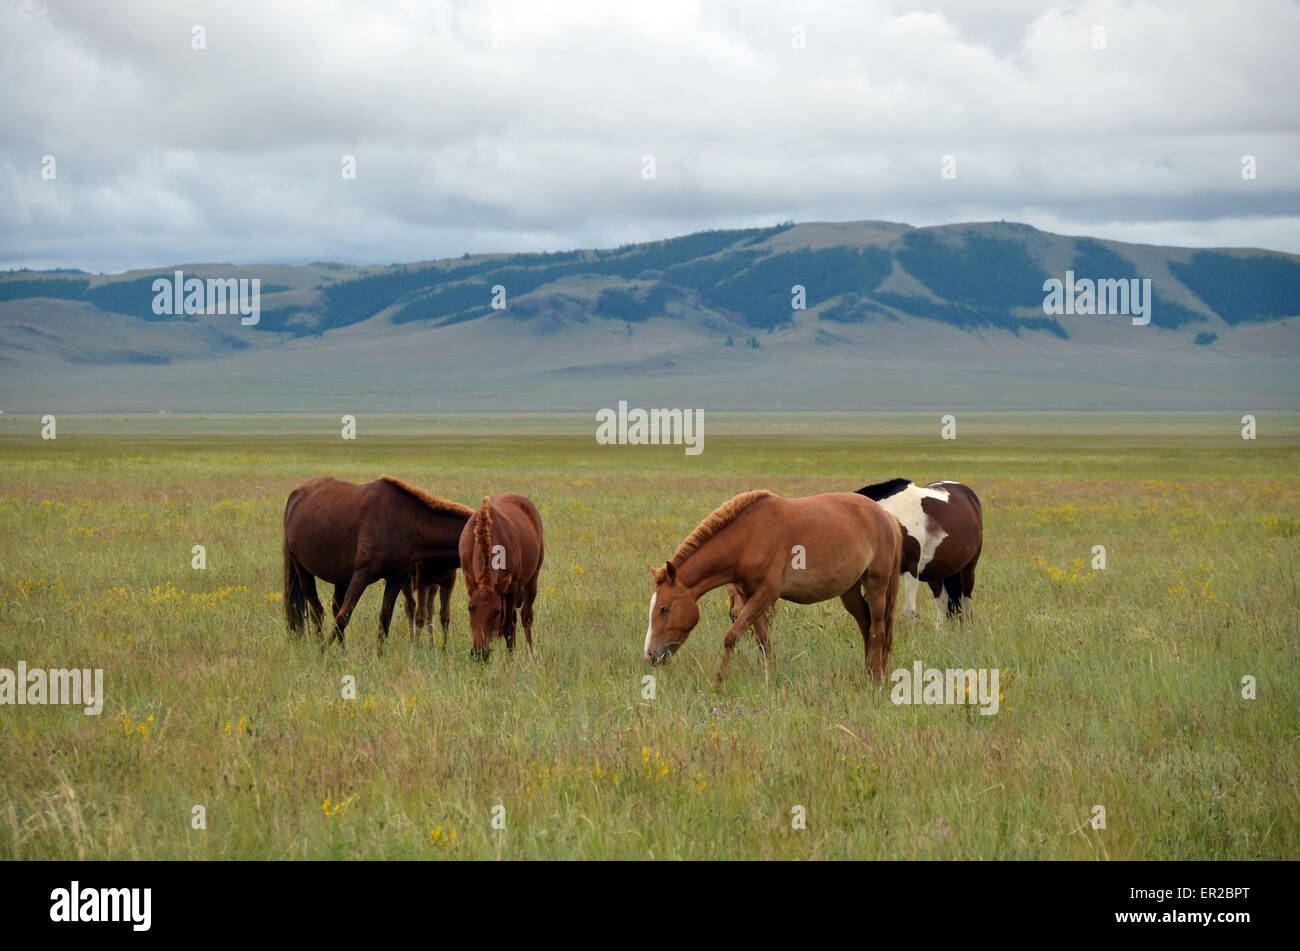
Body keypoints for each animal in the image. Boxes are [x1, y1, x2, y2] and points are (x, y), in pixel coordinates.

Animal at [282, 476, 473, 649]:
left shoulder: (396, 578)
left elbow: (384, 619)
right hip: (302, 569)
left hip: (341, 579)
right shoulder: (361, 576)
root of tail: (295, 495)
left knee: (333, 608)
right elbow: (344, 616)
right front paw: (323, 650)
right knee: (317, 612)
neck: (404, 521)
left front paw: (379, 655)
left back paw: (342, 652)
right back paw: (320, 645)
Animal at [458, 494, 545, 660]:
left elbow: (507, 627)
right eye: (470, 608)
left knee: (525, 616)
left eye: (497, 611)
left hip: (532, 578)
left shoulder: (511, 586)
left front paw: (510, 660)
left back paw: (531, 653)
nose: (479, 653)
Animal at [644, 490, 903, 685]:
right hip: (849, 592)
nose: (650, 654)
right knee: (865, 625)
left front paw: (718, 681)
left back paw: (876, 679)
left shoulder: (765, 595)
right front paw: (770, 679)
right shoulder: (750, 597)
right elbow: (763, 642)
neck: (747, 538)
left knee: (878, 629)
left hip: (876, 585)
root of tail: (885, 516)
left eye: (664, 608)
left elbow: (731, 636)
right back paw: (868, 673)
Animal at [854, 478, 983, 623]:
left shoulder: (911, 568)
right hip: (935, 572)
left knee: (966, 600)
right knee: (943, 602)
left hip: (968, 568)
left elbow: (908, 611)